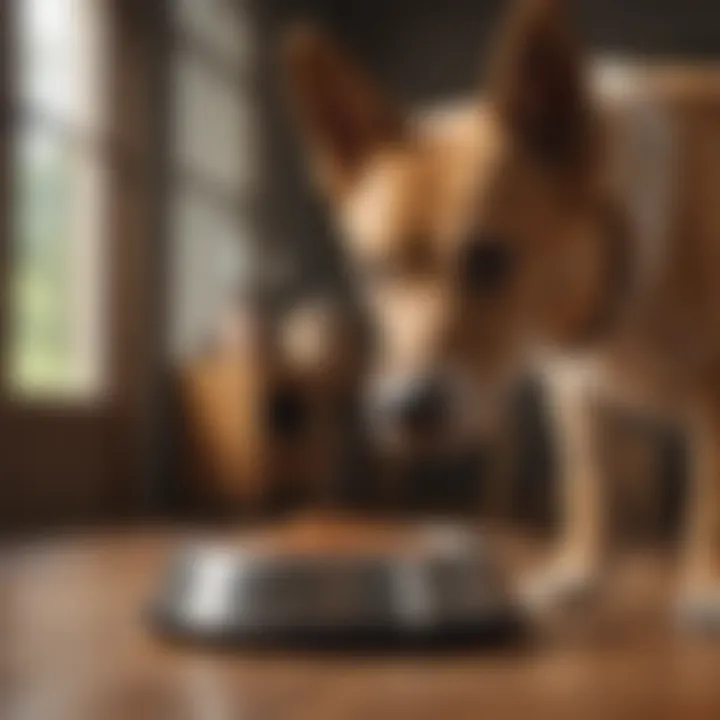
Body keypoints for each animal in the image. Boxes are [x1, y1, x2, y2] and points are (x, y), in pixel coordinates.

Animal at [282, 0, 720, 628]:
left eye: (489, 259)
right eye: (375, 269)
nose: (405, 411)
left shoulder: (712, 393)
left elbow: (708, 500)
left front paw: (706, 586)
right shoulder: (575, 393)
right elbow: (590, 489)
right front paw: (577, 577)